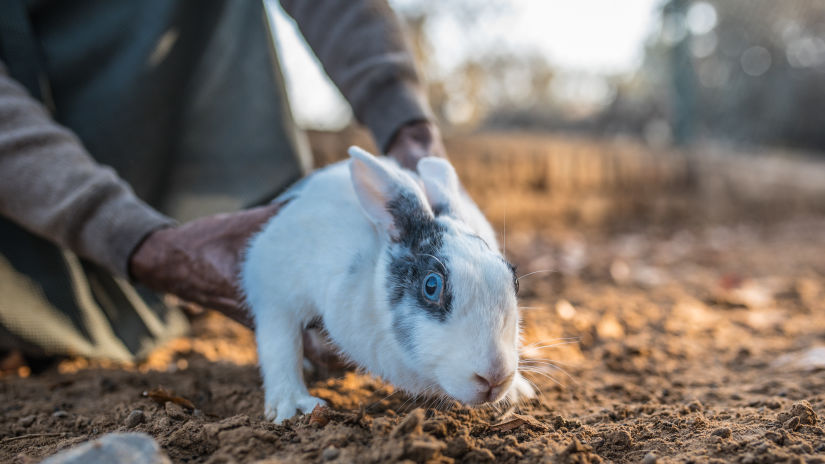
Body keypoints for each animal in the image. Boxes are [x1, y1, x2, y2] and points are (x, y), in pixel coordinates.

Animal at [238, 147, 536, 422]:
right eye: (431, 285)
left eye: (514, 280)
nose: (495, 377)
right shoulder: (274, 290)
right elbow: (280, 346)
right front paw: (293, 406)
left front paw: (518, 391)